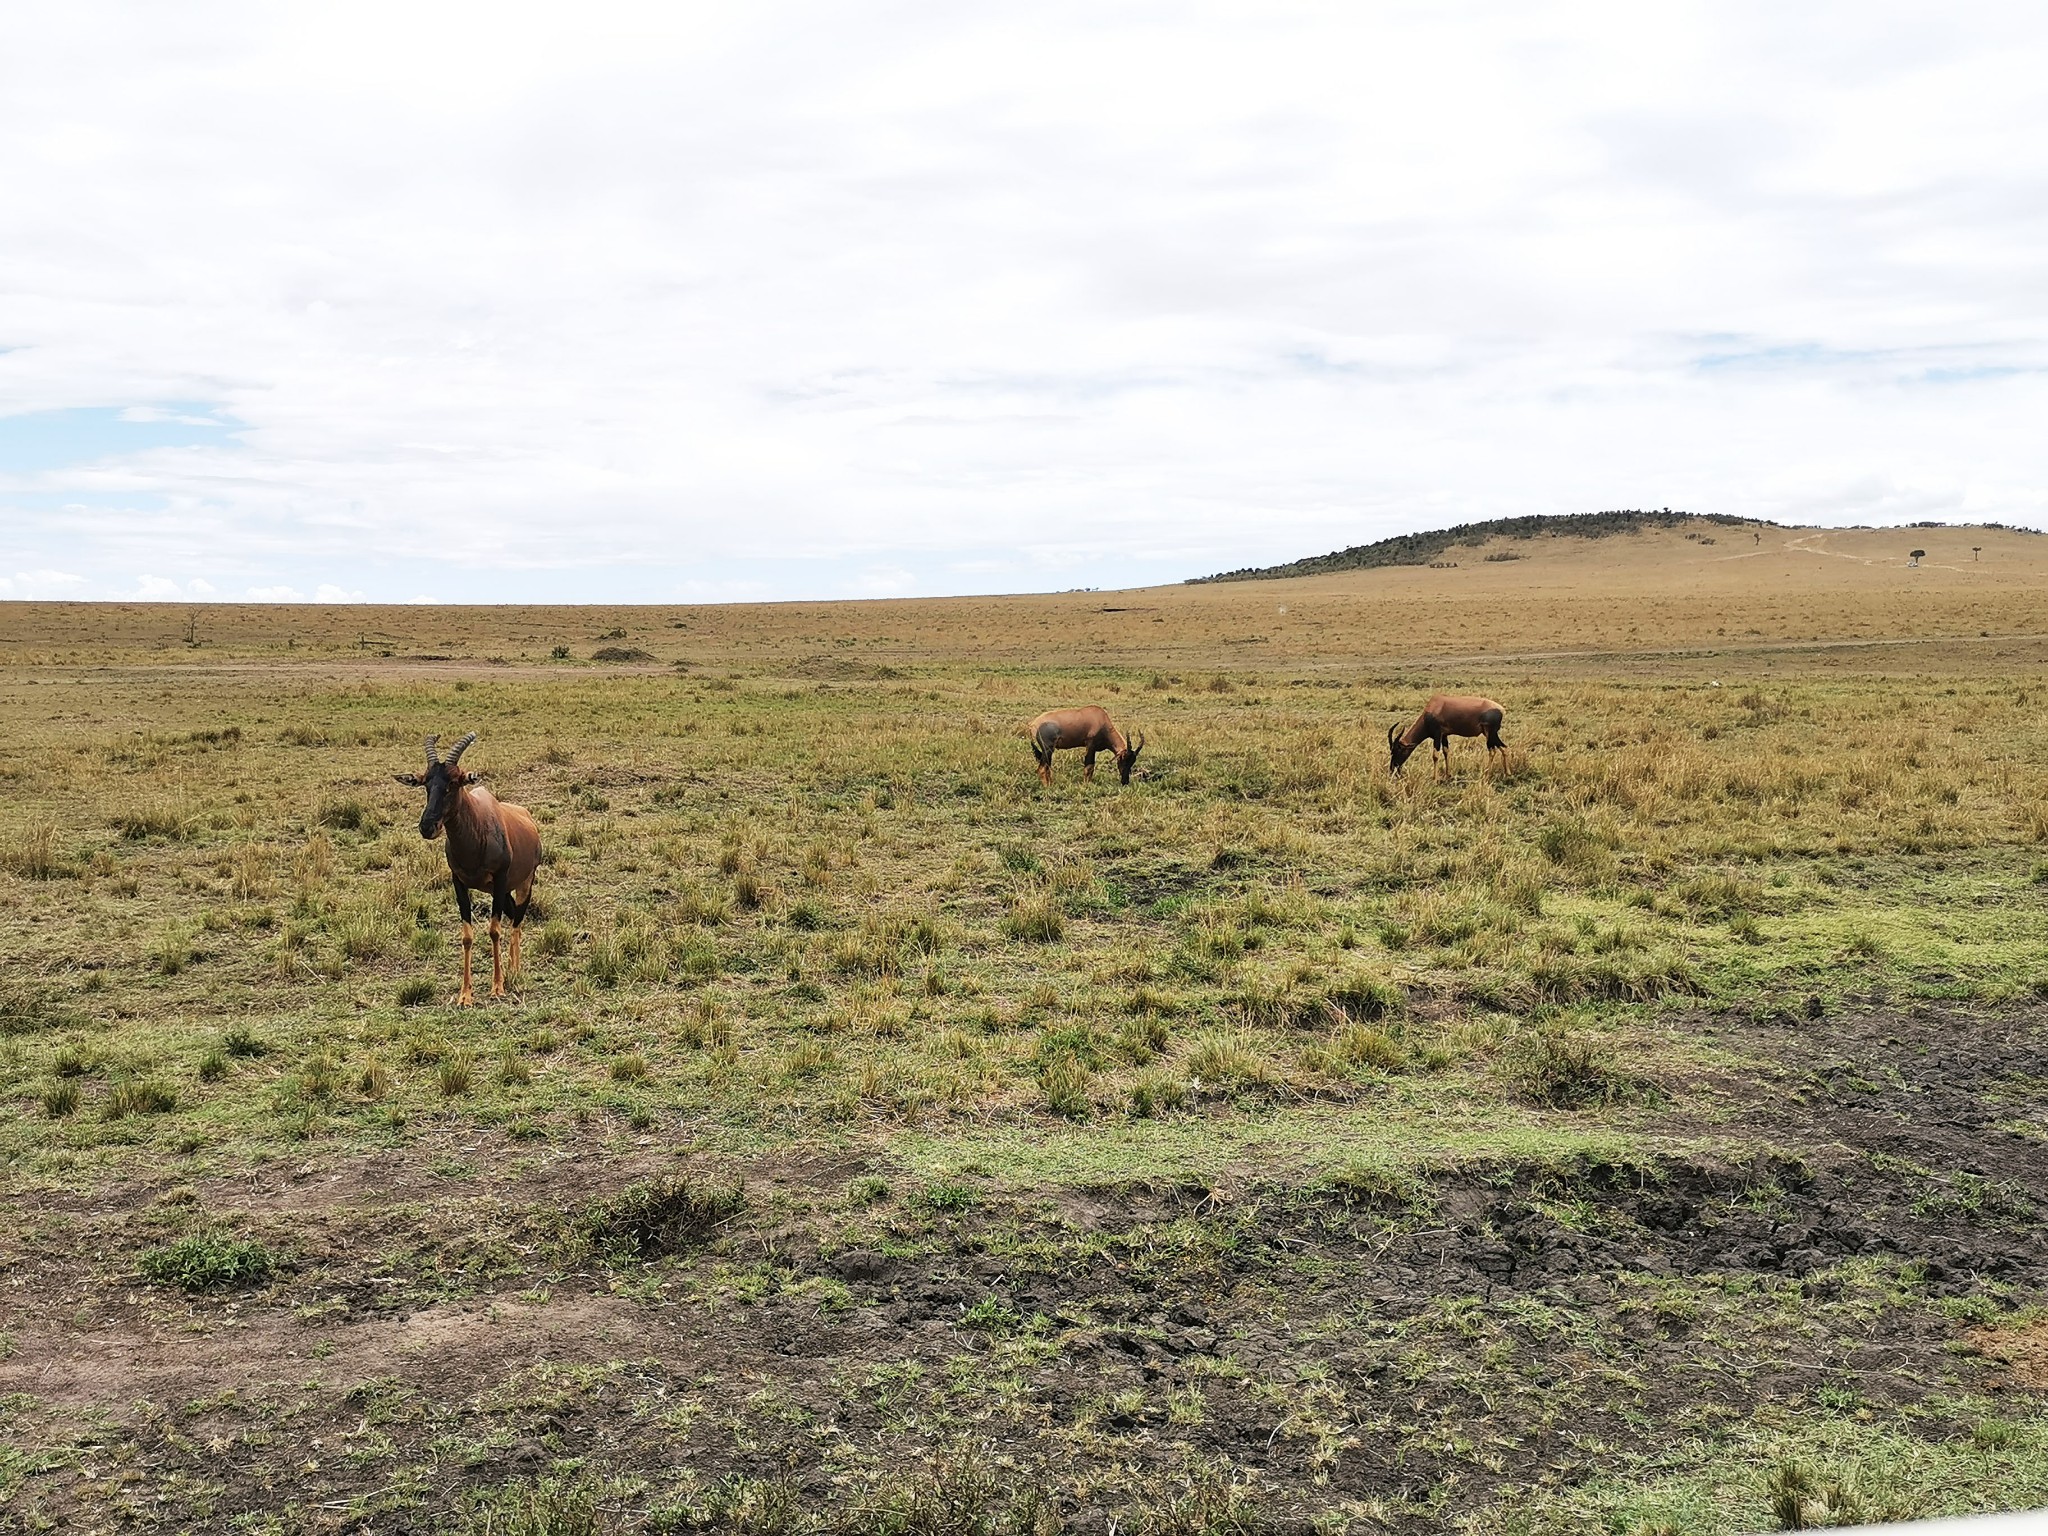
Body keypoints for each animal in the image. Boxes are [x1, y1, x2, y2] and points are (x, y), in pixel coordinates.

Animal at [393, 737, 540, 1011]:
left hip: (524, 883)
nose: (427, 826)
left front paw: (497, 988)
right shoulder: (459, 883)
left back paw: (514, 971)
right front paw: (465, 995)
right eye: (426, 782)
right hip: (502, 892)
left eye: (454, 782)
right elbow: (467, 936)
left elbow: (494, 930)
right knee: (513, 916)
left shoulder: (500, 880)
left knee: (517, 922)